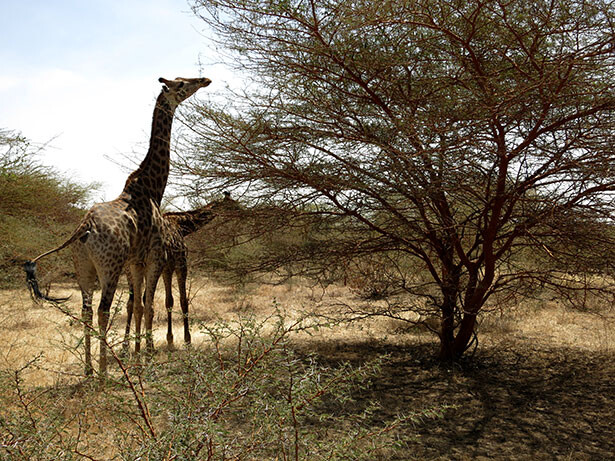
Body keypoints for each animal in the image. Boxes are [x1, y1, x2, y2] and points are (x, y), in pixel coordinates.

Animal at [24, 76, 212, 378]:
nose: (205, 80)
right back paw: (103, 373)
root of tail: (83, 227)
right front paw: (147, 356)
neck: (151, 189)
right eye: (182, 83)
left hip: (83, 267)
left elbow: (138, 305)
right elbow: (148, 305)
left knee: (86, 310)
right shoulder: (155, 256)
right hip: (109, 266)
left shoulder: (136, 261)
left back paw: (89, 370)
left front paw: (137, 356)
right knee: (103, 310)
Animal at [123, 190, 241, 348]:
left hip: (130, 269)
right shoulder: (179, 264)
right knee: (143, 301)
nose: (244, 212)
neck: (183, 226)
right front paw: (185, 339)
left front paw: (170, 339)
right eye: (234, 205)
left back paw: (126, 345)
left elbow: (168, 301)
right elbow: (181, 300)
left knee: (132, 302)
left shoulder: (166, 268)